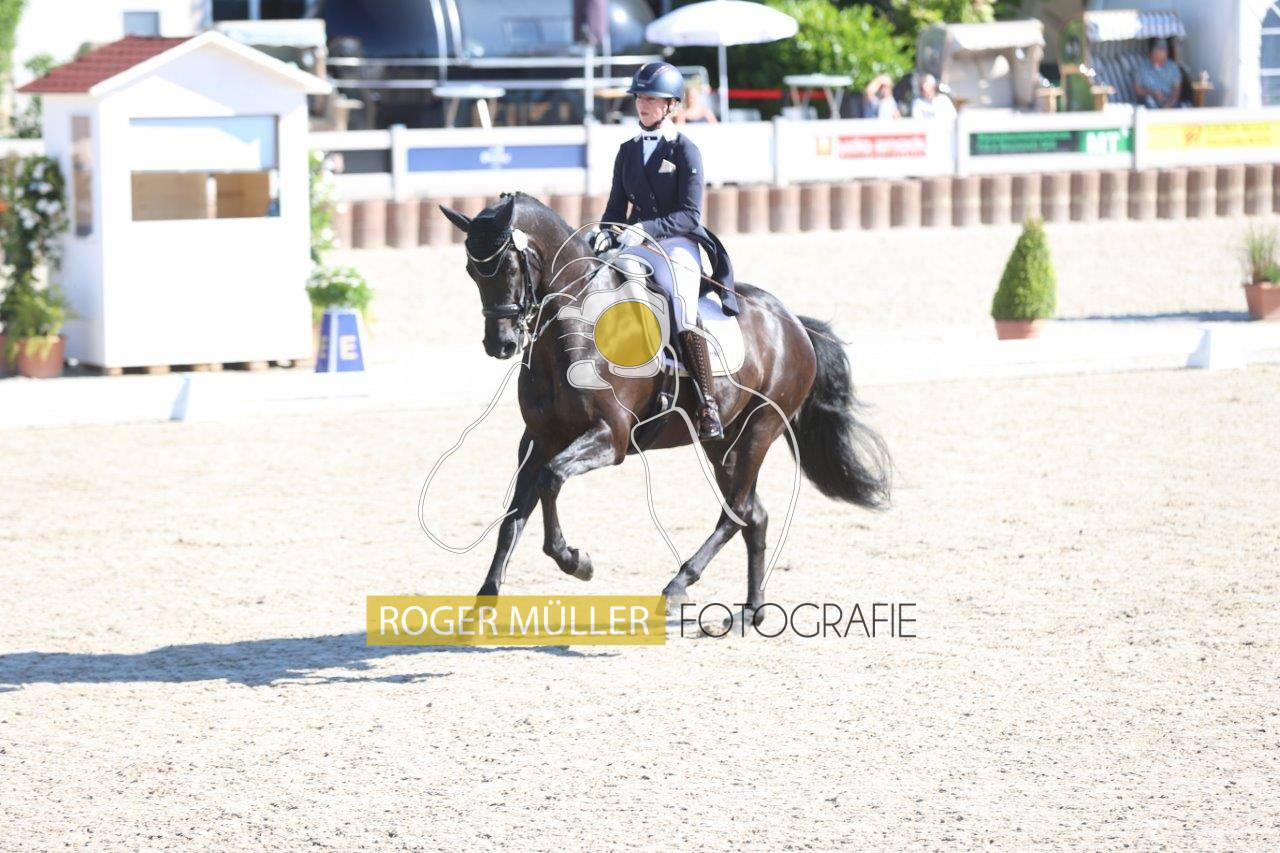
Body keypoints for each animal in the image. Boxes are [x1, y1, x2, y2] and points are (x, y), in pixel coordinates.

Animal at [439, 192, 890, 618]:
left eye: (509, 267)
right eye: (471, 271)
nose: (500, 344)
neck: (573, 328)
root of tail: (791, 322)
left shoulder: (611, 438)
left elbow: (551, 480)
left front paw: (576, 561)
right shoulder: (537, 439)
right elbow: (514, 516)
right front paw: (483, 603)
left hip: (759, 431)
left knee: (736, 511)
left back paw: (677, 587)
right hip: (723, 444)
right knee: (753, 515)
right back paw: (752, 610)